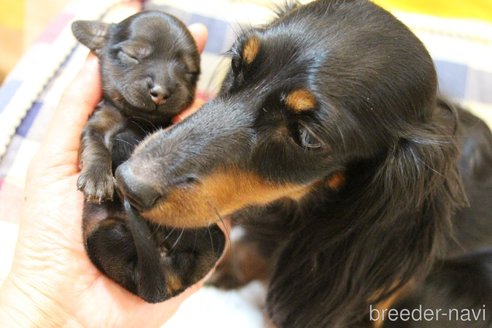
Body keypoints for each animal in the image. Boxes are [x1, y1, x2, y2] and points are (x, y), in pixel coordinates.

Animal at [71, 11, 225, 304]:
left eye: (188, 71)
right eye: (133, 55)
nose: (162, 91)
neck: (137, 119)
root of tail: (162, 288)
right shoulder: (99, 122)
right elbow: (96, 146)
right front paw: (97, 179)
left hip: (212, 237)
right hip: (102, 234)